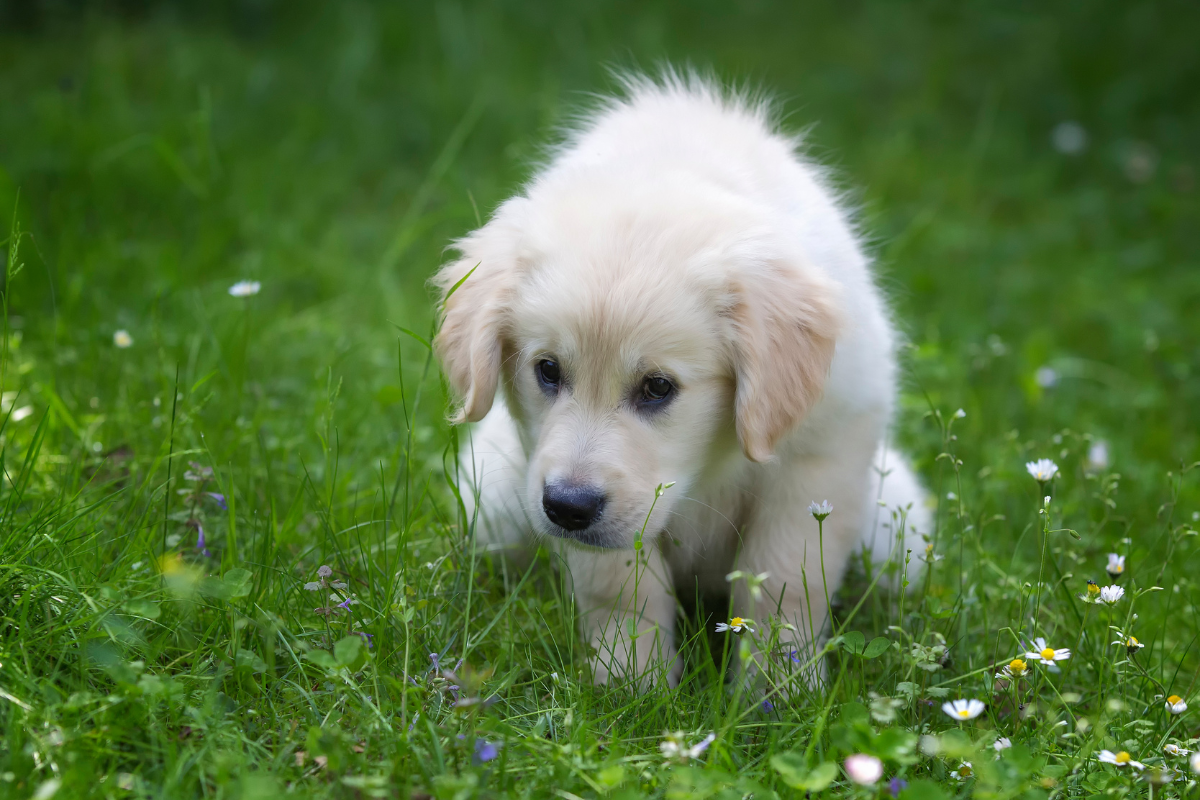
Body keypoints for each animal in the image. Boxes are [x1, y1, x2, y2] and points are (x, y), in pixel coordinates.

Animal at [432, 73, 926, 690]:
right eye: (547, 370)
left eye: (658, 387)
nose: (567, 508)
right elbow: (620, 588)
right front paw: (631, 683)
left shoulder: (819, 458)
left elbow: (786, 581)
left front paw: (779, 689)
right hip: (494, 500)